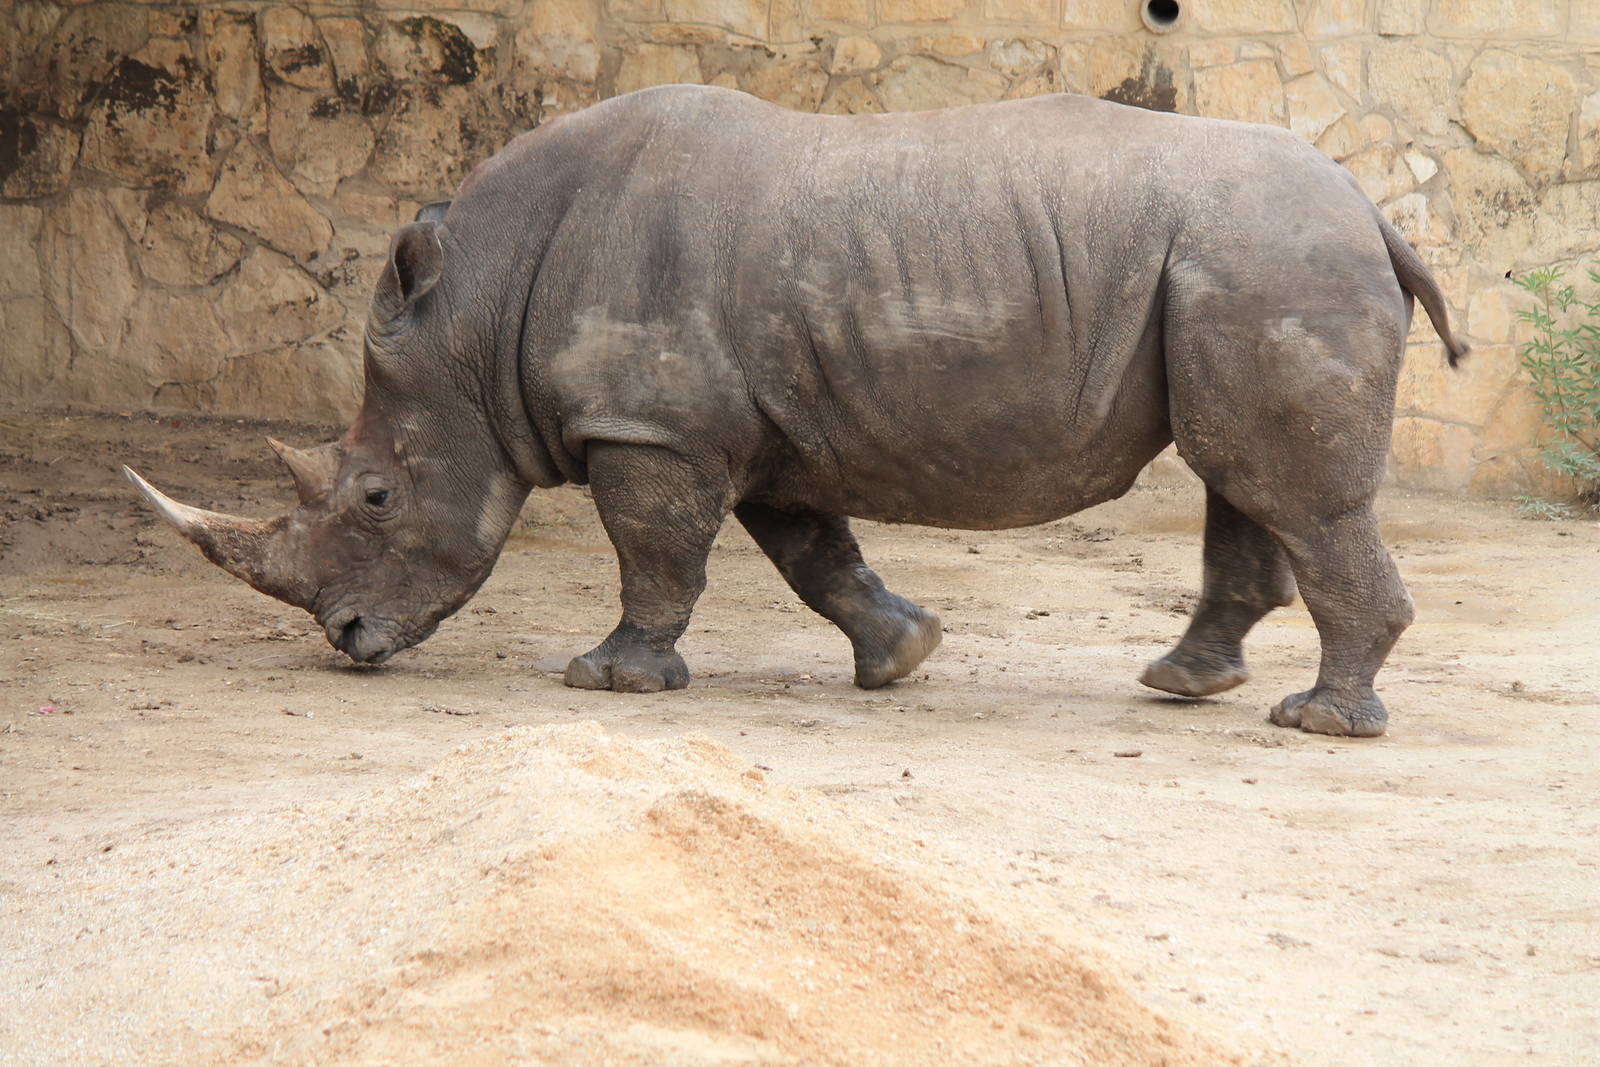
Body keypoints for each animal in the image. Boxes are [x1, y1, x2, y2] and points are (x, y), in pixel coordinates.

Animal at [125, 86, 1467, 738]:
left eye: (373, 494)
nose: (348, 639)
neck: (473, 313)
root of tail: (1374, 212)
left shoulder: (650, 424)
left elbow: (654, 551)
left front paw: (609, 680)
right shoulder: (754, 429)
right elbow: (812, 553)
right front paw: (904, 655)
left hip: (1269, 262)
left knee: (1282, 484)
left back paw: (1319, 723)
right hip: (1244, 268)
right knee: (1240, 473)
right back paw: (1184, 682)